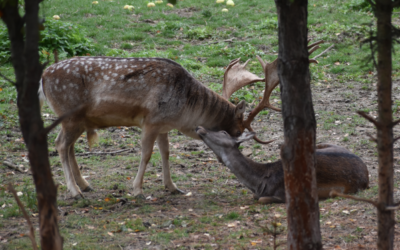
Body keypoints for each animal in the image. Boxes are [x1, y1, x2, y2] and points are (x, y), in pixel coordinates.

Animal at [39, 56, 268, 199]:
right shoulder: (150, 121)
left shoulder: (162, 126)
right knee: (60, 145)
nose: (230, 159)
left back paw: (85, 185)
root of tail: (43, 77)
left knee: (68, 146)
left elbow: (165, 153)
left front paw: (173, 187)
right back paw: (75, 192)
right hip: (70, 116)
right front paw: (138, 190)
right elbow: (147, 154)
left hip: (75, 121)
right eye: (237, 133)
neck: (184, 111)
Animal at [195, 126, 368, 204]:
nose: (200, 128)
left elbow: (261, 199)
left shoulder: (285, 194)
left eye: (223, 132)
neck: (260, 181)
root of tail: (366, 173)